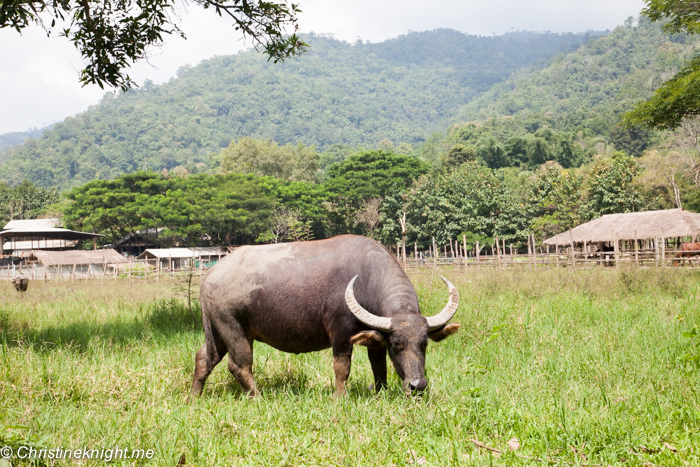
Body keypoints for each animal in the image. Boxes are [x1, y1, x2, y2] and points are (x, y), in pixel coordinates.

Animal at [190, 236, 460, 396]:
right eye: (397, 344)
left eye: (424, 343)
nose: (417, 386)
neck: (366, 278)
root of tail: (210, 276)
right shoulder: (341, 333)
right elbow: (342, 367)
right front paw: (339, 396)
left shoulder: (375, 338)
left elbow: (379, 366)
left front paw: (380, 392)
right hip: (234, 329)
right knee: (239, 366)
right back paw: (257, 397)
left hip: (217, 332)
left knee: (204, 358)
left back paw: (194, 397)